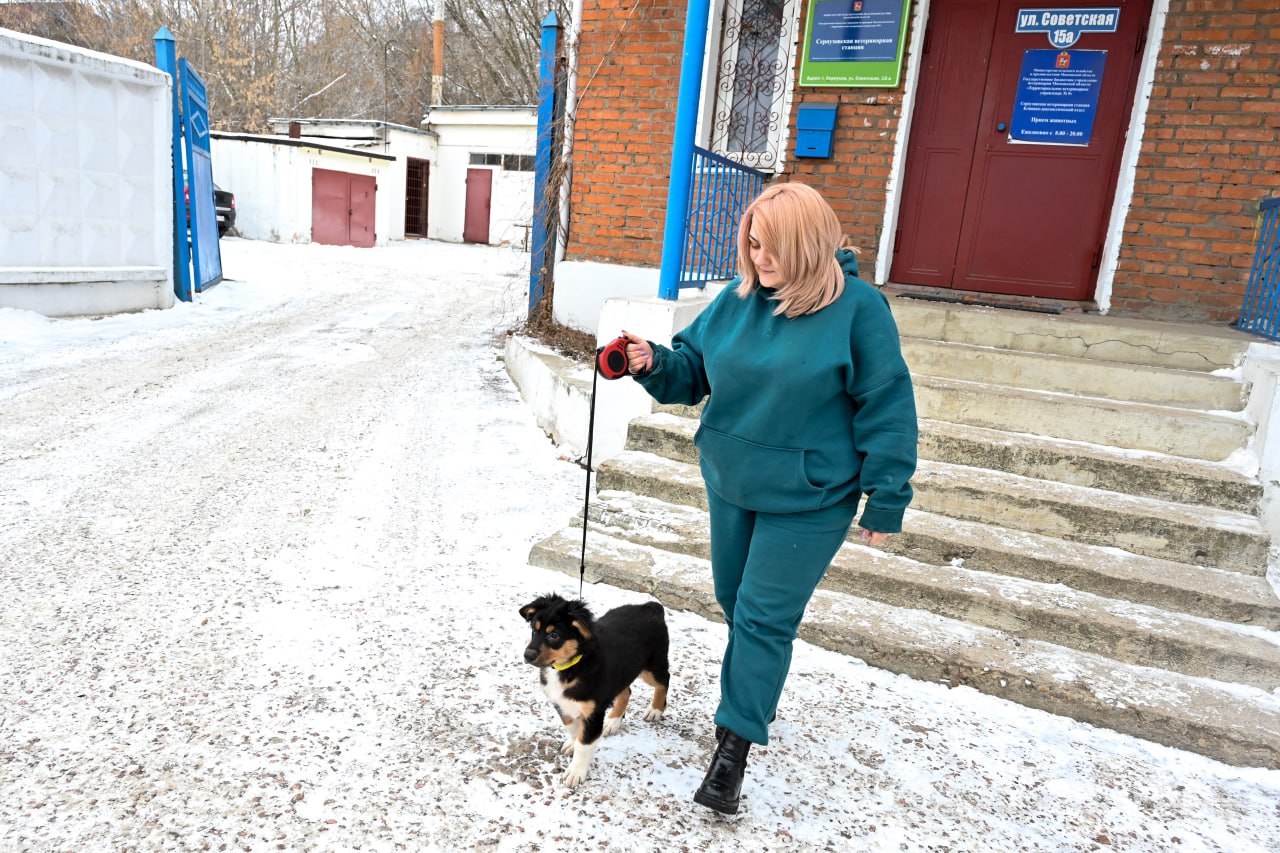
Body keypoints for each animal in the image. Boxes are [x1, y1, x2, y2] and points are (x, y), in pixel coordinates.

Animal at [522, 591, 675, 783]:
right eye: (534, 630)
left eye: (554, 635)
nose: (527, 655)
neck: (571, 666)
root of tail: (650, 607)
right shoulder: (561, 704)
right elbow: (573, 729)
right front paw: (572, 745)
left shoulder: (593, 713)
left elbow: (584, 744)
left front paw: (575, 773)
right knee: (627, 691)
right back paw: (613, 721)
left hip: (652, 667)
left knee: (664, 680)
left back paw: (655, 710)